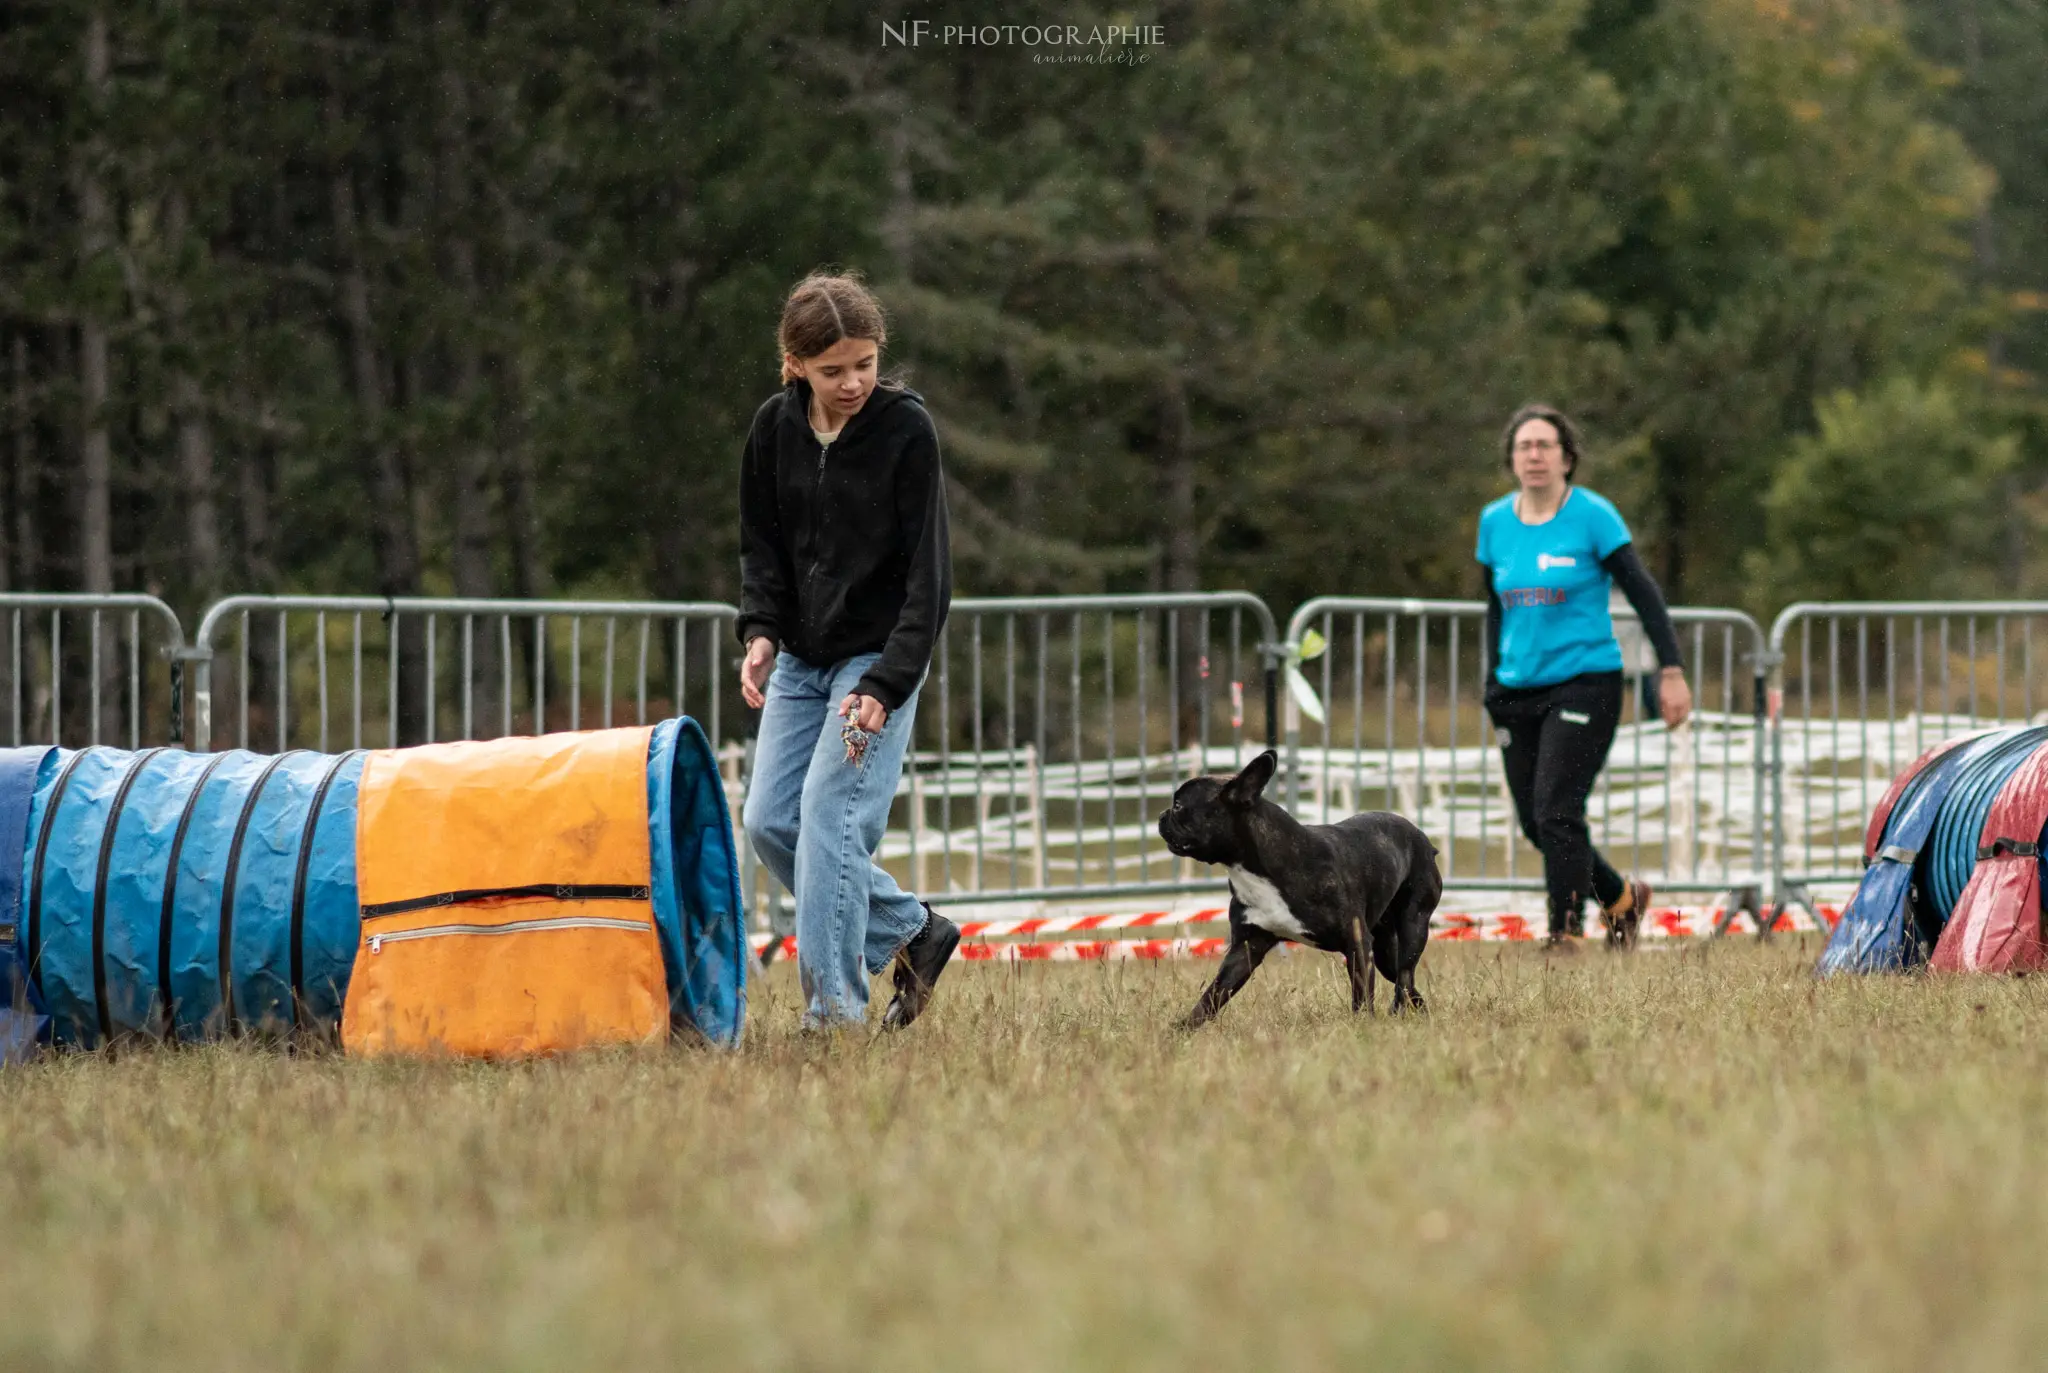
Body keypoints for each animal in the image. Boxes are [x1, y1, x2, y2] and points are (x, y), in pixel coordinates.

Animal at [1155, 754, 1441, 1032]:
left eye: (1179, 805)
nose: (1161, 815)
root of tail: (1422, 838)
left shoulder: (1357, 943)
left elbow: (1361, 994)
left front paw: (1362, 1026)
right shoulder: (1246, 948)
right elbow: (1213, 995)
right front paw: (1181, 1031)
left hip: (1414, 925)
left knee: (1405, 973)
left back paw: (1399, 1010)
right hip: (1383, 948)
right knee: (1404, 978)